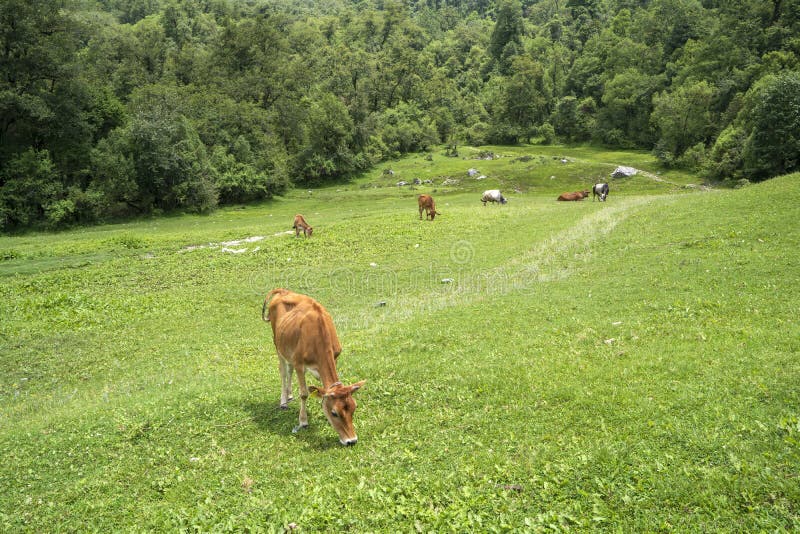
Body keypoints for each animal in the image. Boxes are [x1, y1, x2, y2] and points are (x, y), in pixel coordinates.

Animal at [262, 292, 366, 446]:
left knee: (289, 369)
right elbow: (304, 394)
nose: (351, 441)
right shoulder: (299, 363)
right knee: (283, 371)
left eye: (354, 407)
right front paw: (303, 421)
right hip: (277, 344)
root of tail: (282, 291)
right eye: (334, 413)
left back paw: (289, 394)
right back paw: (283, 401)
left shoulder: (335, 358)